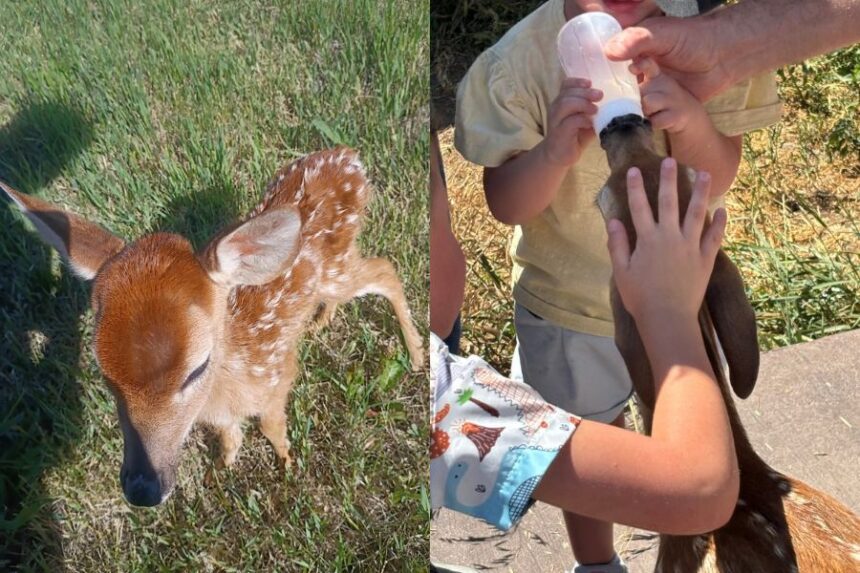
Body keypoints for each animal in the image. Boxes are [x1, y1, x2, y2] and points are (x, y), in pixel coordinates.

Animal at [1, 146, 424, 508]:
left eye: (197, 367)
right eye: (105, 375)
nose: (142, 489)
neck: (229, 386)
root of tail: (349, 157)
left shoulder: (277, 380)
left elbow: (271, 429)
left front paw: (287, 464)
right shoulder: (221, 415)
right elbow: (230, 436)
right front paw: (220, 469)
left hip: (337, 270)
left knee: (385, 270)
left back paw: (417, 355)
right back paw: (320, 322)